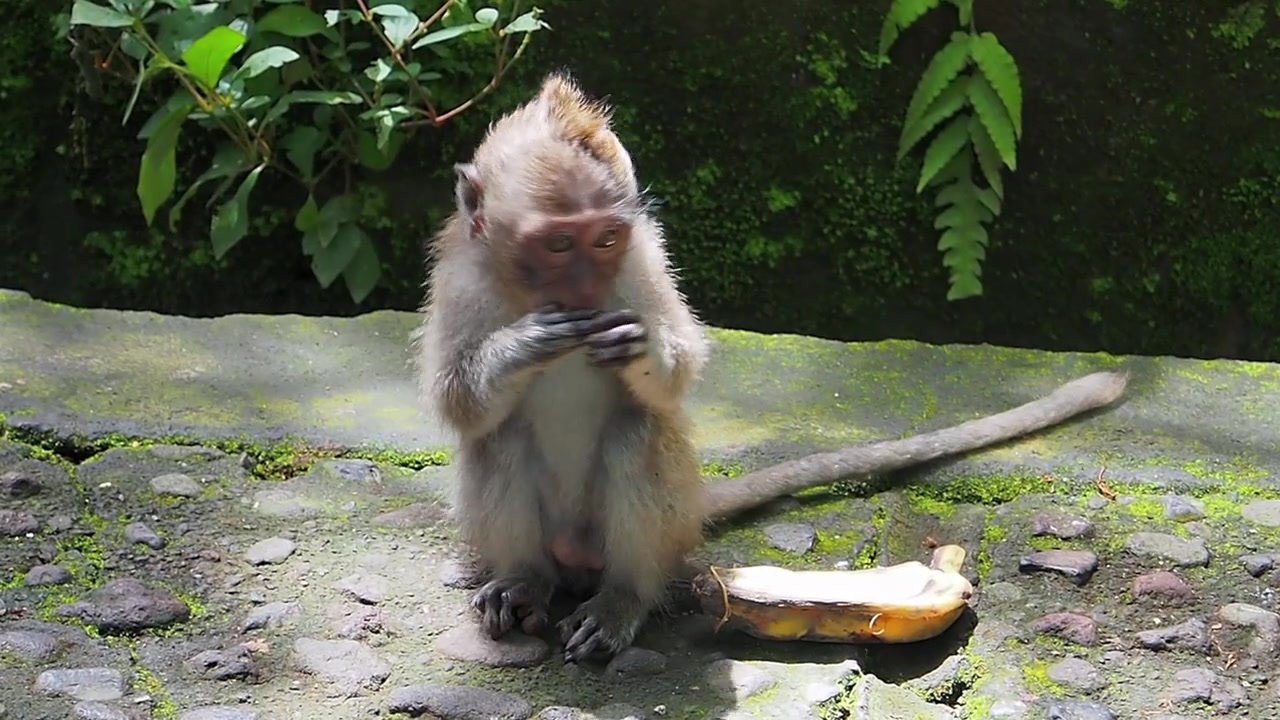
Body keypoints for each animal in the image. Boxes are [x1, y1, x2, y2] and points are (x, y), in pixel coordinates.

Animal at [412, 70, 1130, 665]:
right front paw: (524, 345)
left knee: (637, 432)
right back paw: (525, 581)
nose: (589, 286)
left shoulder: (640, 258)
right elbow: (455, 400)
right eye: (561, 243)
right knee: (499, 438)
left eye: (606, 239)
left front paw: (639, 348)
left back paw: (622, 599)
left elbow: (680, 369)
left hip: (652, 533)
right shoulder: (462, 276)